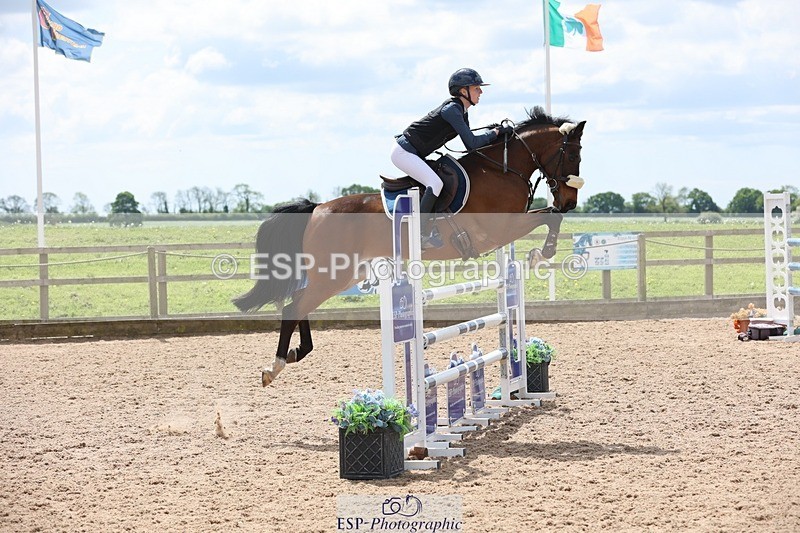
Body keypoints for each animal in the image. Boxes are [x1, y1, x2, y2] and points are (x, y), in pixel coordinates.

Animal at [233, 106, 586, 386]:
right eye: (572, 155)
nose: (570, 201)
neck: (501, 169)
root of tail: (317, 207)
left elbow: (550, 216)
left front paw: (541, 251)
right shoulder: (502, 229)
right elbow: (551, 217)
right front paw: (543, 252)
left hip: (341, 274)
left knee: (299, 303)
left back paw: (296, 353)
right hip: (333, 273)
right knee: (293, 307)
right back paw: (275, 366)